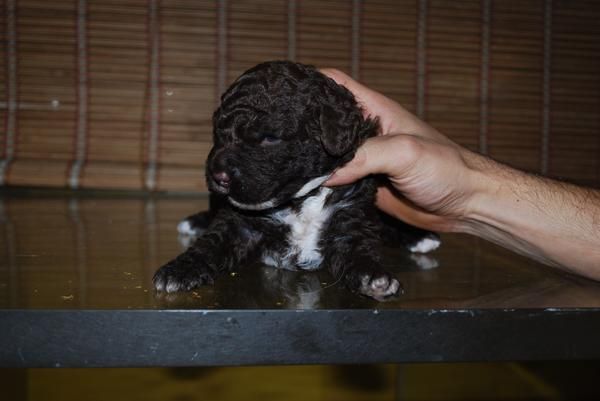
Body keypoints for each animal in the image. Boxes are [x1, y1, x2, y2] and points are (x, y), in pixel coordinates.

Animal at [152, 60, 438, 300]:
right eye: (218, 133)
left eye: (270, 138)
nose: (218, 176)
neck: (301, 199)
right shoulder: (239, 223)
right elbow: (212, 243)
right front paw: (179, 269)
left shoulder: (351, 216)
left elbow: (359, 250)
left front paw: (375, 277)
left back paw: (418, 236)